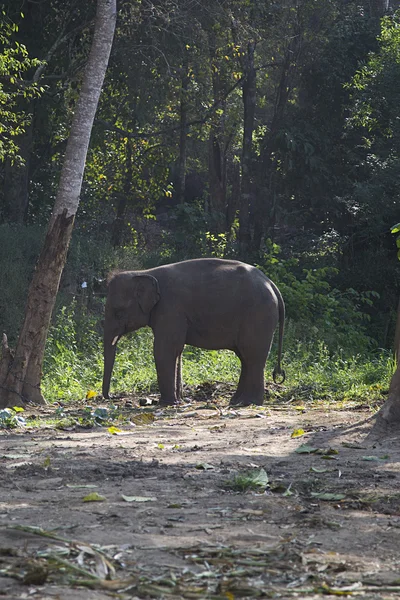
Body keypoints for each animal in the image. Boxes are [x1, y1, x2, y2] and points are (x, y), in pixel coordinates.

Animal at [103, 258, 284, 408]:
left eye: (119, 313)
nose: (112, 397)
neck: (145, 272)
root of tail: (271, 283)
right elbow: (176, 350)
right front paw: (177, 401)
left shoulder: (170, 308)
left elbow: (165, 350)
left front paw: (166, 403)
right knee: (245, 357)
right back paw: (236, 401)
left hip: (258, 315)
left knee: (253, 356)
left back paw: (250, 402)